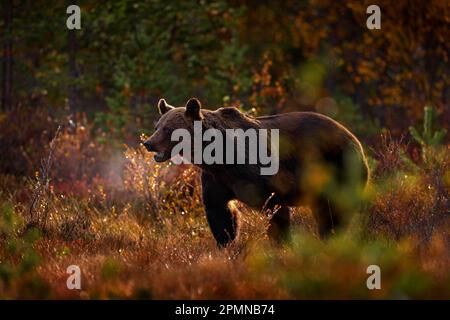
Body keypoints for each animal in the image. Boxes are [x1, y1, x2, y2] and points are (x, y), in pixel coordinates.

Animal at [144, 97, 370, 248]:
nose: (148, 143)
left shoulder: (260, 174)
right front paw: (226, 245)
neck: (218, 157)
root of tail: (355, 139)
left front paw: (280, 244)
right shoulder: (217, 180)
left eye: (168, 129)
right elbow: (220, 212)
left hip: (340, 165)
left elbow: (276, 208)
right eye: (157, 126)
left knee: (335, 209)